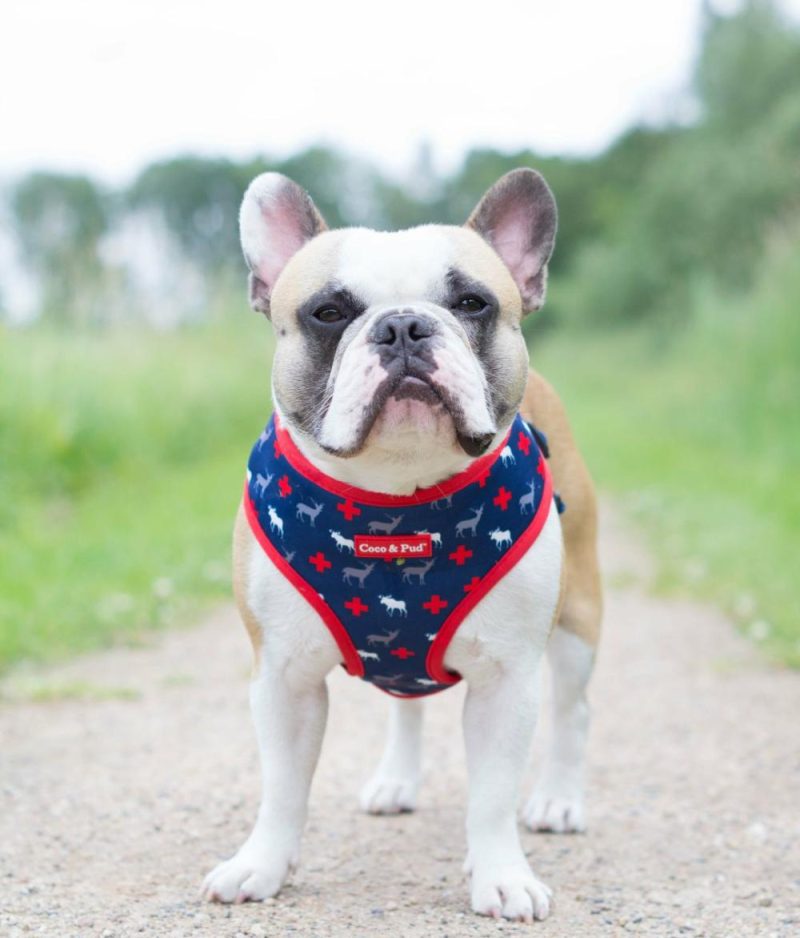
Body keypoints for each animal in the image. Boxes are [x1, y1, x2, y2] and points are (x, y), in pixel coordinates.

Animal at [200, 168, 600, 920]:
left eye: (472, 303)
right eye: (329, 312)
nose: (403, 326)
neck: (395, 497)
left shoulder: (508, 678)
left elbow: (493, 795)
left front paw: (500, 873)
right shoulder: (283, 678)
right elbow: (281, 789)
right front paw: (259, 865)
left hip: (578, 622)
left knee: (572, 710)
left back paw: (560, 798)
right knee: (406, 703)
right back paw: (397, 781)